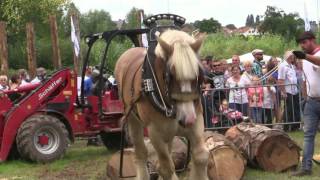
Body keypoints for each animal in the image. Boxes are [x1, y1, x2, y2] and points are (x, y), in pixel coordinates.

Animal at [114, 29, 209, 180]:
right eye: (169, 76)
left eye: (199, 76)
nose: (188, 119)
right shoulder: (155, 132)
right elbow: (166, 168)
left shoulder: (197, 120)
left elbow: (201, 156)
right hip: (133, 119)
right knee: (141, 152)